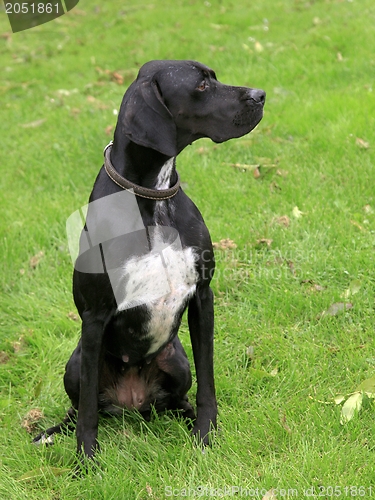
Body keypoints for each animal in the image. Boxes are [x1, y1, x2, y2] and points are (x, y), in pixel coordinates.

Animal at [33, 60, 266, 458]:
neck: (151, 197)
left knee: (177, 400)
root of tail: (132, 404)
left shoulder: (203, 297)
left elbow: (207, 381)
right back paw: (51, 432)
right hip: (76, 363)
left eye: (213, 76)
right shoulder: (95, 316)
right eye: (201, 85)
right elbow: (88, 413)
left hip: (177, 360)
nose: (261, 94)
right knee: (81, 407)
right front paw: (86, 460)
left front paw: (206, 434)